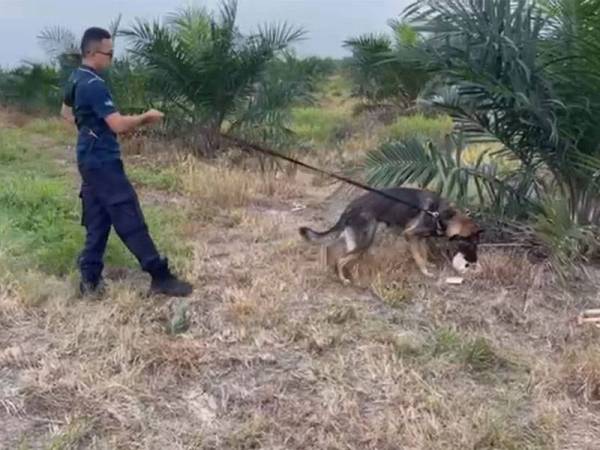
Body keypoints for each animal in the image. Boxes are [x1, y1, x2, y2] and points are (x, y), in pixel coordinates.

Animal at [298, 188, 482, 284]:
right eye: (471, 245)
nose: (474, 261)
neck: (442, 215)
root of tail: (350, 208)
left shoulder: (420, 238)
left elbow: (423, 253)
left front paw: (429, 265)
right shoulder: (410, 235)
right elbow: (419, 257)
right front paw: (425, 272)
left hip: (355, 239)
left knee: (330, 247)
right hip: (364, 241)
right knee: (340, 259)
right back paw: (342, 278)